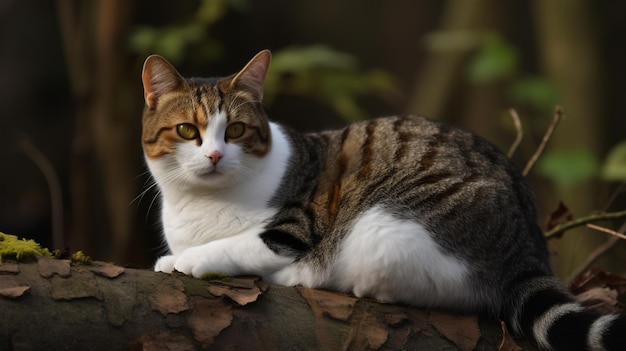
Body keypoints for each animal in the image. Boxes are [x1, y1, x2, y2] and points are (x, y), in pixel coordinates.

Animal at [141, 50, 624, 351]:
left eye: (237, 130)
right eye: (188, 131)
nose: (215, 154)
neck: (200, 202)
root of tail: (527, 250)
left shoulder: (296, 226)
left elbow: (235, 245)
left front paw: (185, 260)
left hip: (384, 227)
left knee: (451, 290)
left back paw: (309, 275)